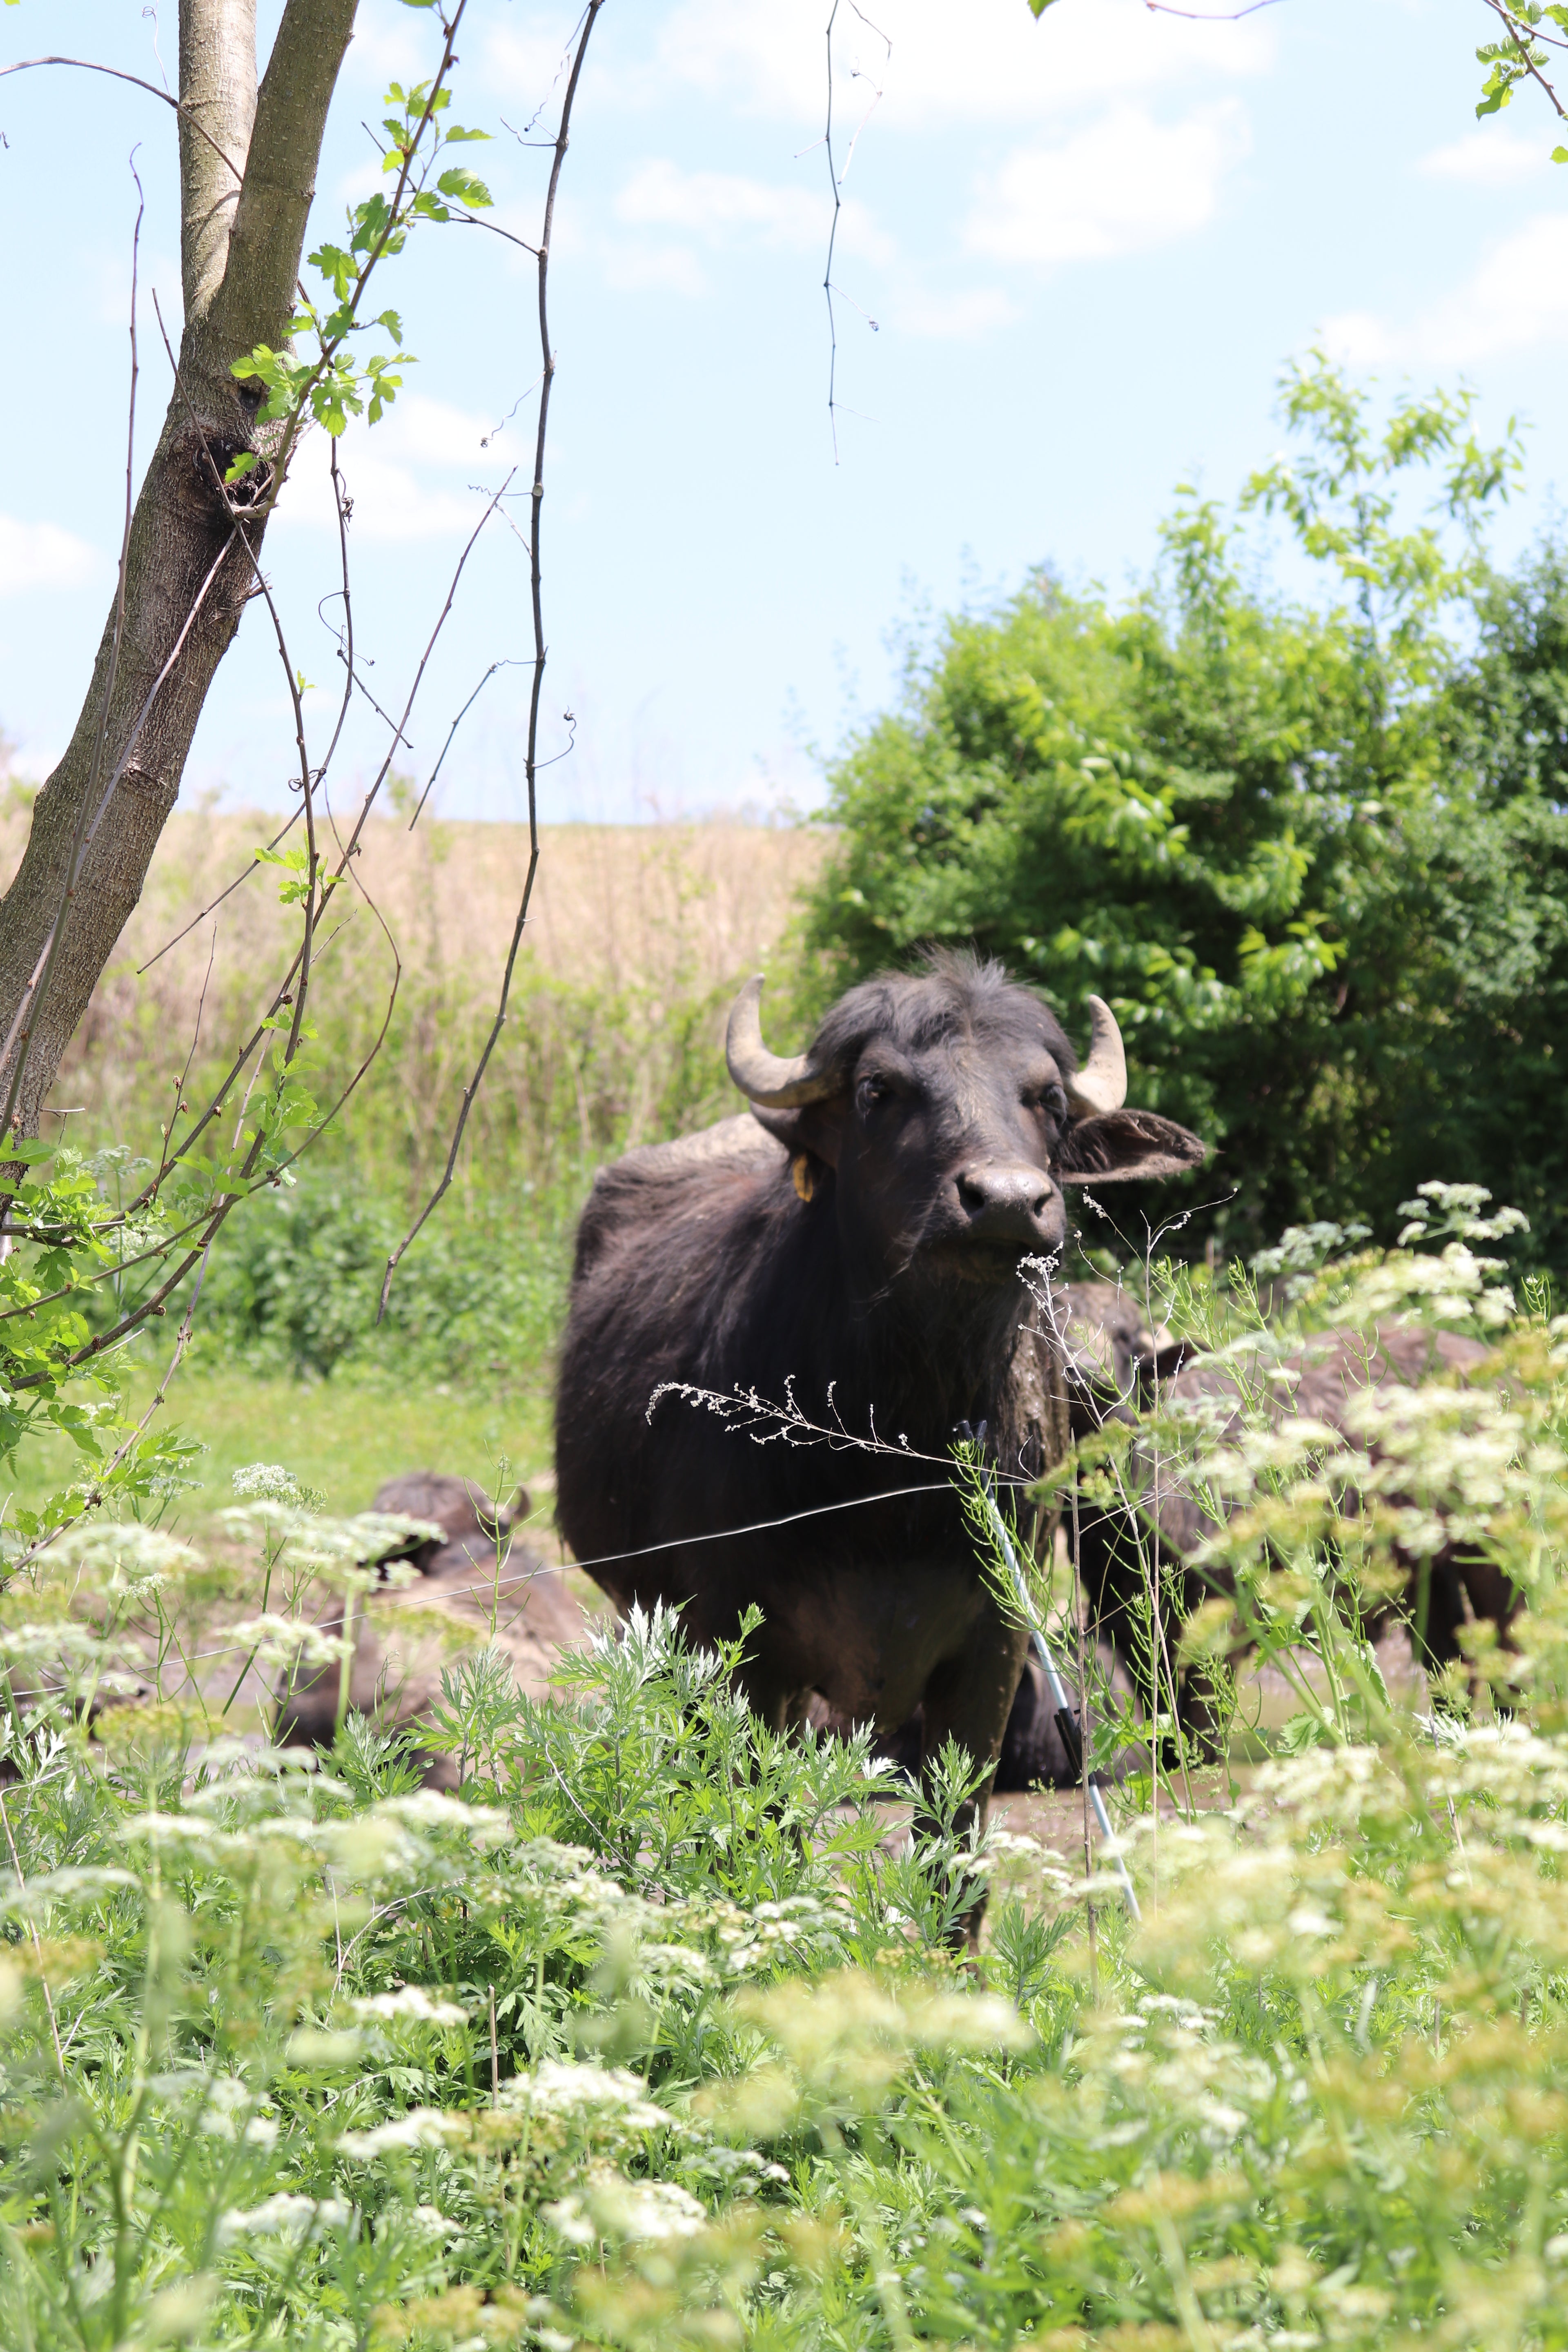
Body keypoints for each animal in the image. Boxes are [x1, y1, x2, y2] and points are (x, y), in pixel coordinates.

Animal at [554, 952, 1206, 1905]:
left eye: (1048, 1097)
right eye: (878, 1088)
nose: (1006, 1202)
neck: (900, 1455)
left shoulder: (995, 1646)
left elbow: (955, 1855)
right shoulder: (739, 1645)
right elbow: (754, 1826)